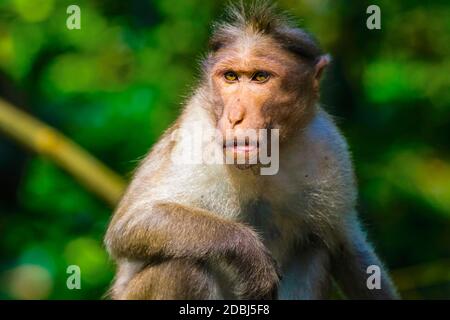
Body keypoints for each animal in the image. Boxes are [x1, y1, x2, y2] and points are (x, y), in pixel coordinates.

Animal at [104, 1, 398, 300]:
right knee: (181, 266)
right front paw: (247, 251)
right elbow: (132, 222)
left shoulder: (329, 147)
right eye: (230, 77)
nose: (235, 116)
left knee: (316, 249)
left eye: (260, 77)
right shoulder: (195, 135)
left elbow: (347, 247)